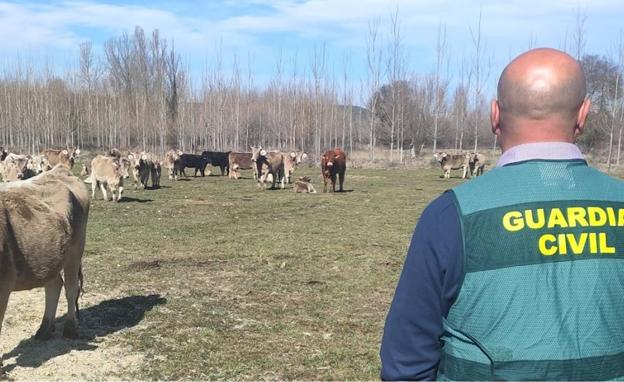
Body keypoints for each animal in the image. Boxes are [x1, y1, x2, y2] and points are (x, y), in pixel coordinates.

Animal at [0, 166, 90, 372]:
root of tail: (59, 170)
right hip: (49, 257)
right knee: (54, 285)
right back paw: (44, 329)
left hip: (75, 251)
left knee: (71, 288)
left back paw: (70, 329)